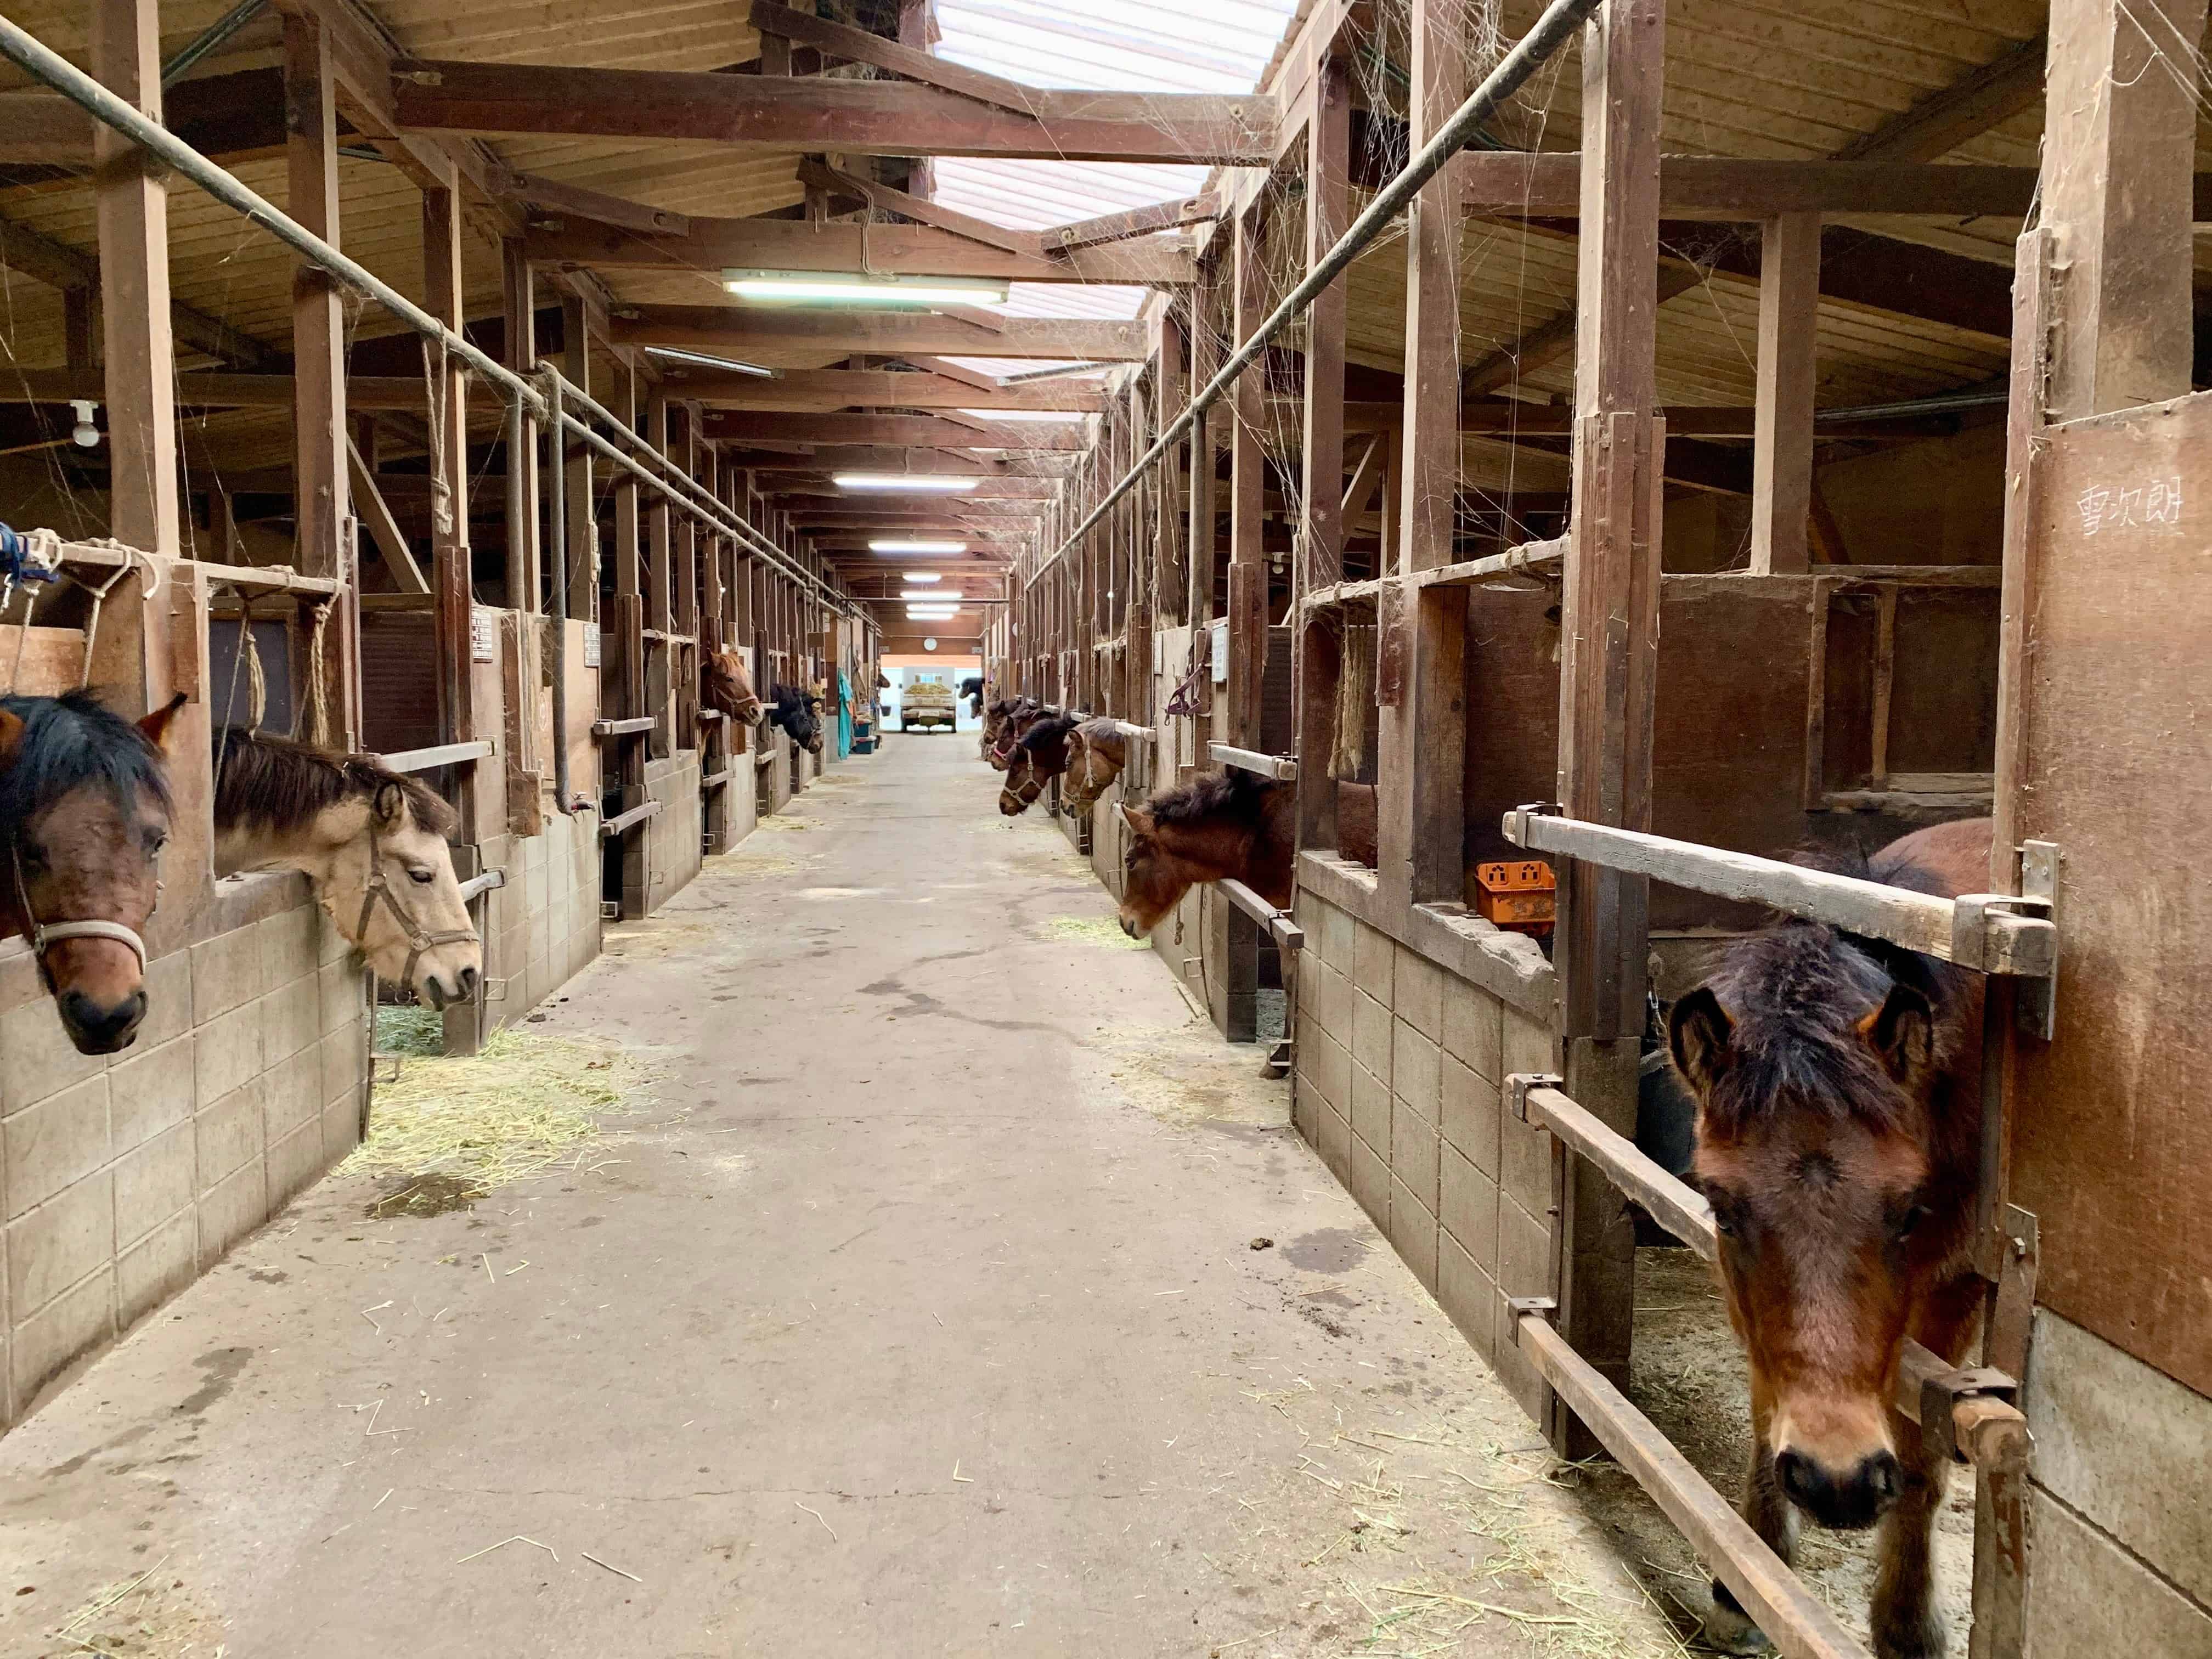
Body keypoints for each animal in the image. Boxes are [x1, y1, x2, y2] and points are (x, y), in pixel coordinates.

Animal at [1663, 822, 1999, 1659]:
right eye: (1723, 1209)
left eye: (1909, 1211)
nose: (1836, 1482)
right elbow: (1765, 1403)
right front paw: (1746, 1579)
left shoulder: (1952, 1287)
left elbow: (1921, 1456)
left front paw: (1907, 1625)